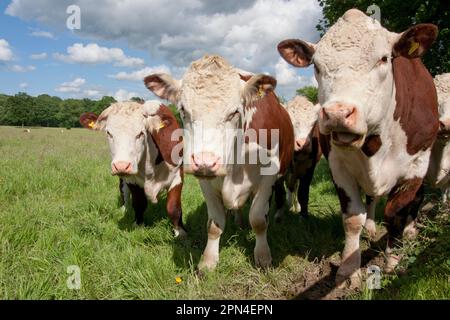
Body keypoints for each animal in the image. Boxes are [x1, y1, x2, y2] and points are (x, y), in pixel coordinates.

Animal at [79, 100, 186, 238]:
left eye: (141, 133)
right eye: (109, 133)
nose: (121, 165)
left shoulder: (177, 175)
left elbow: (173, 207)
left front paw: (180, 233)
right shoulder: (132, 180)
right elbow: (139, 203)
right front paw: (139, 226)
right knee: (123, 191)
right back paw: (124, 208)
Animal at [144, 55, 296, 270]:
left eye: (235, 112)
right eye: (183, 110)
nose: (205, 162)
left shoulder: (267, 179)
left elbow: (258, 220)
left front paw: (263, 257)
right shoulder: (206, 183)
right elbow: (214, 225)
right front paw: (208, 261)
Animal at [278, 8, 440, 286]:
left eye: (384, 59)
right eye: (316, 66)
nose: (337, 113)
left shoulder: (415, 166)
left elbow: (396, 213)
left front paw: (392, 261)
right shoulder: (338, 166)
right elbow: (353, 218)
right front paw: (348, 268)